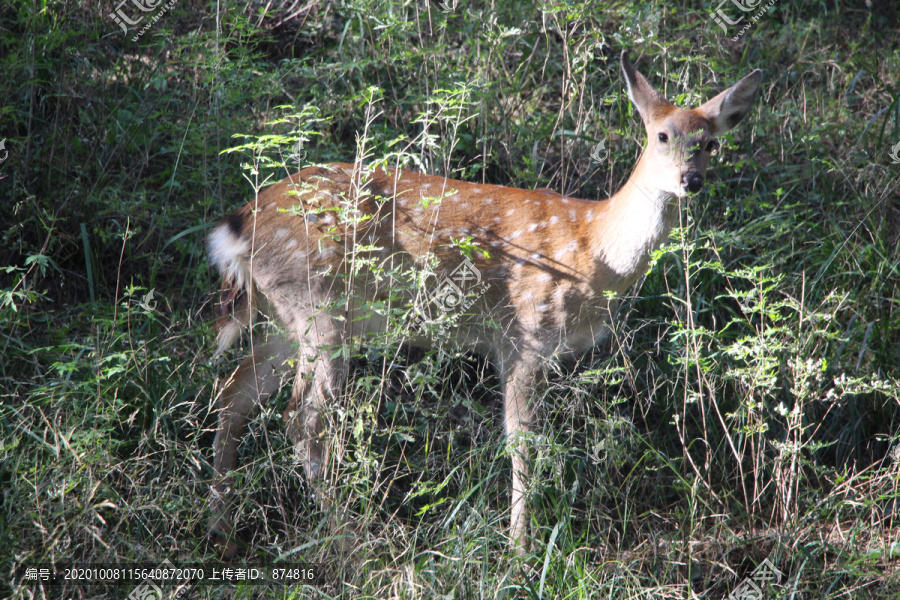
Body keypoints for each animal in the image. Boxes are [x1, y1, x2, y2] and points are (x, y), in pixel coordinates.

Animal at [209, 52, 760, 556]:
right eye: (662, 136)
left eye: (711, 143)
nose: (691, 180)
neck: (593, 246)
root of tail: (240, 223)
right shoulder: (526, 334)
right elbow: (521, 442)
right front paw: (521, 550)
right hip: (323, 310)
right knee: (302, 420)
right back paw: (347, 539)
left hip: (288, 316)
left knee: (233, 392)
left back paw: (223, 528)